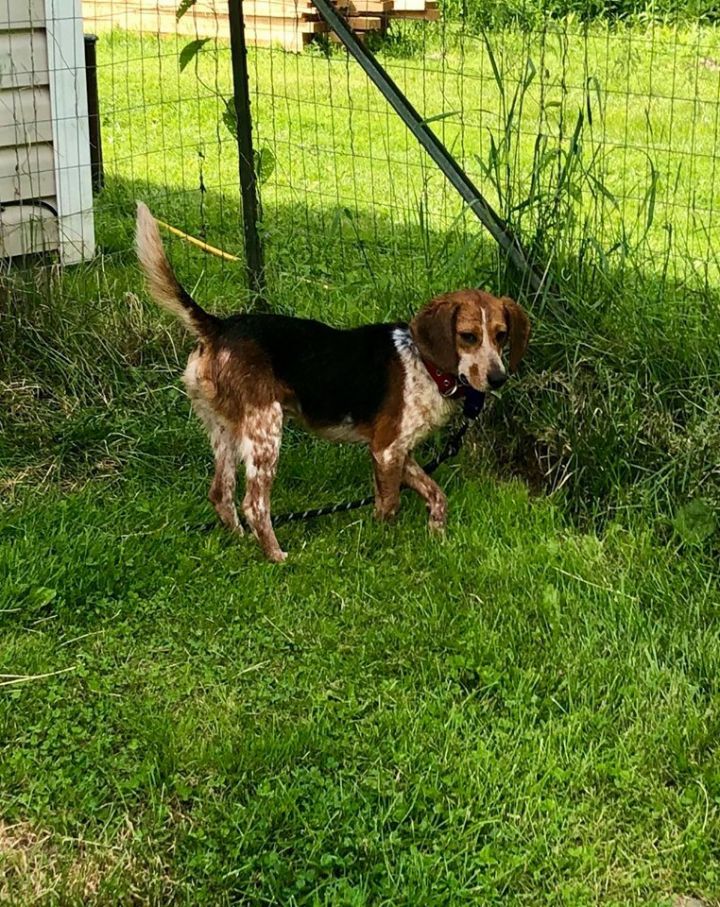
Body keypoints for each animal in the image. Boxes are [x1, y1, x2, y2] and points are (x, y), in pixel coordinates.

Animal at [135, 202, 530, 561]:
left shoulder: (398, 452)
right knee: (254, 503)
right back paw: (276, 555)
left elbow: (435, 494)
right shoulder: (387, 450)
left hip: (225, 429)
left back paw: (242, 540)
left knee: (220, 492)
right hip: (265, 430)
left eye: (501, 335)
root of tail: (217, 327)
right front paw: (386, 544)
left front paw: (437, 534)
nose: (498, 378)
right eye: (467, 337)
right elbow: (390, 505)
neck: (426, 365)